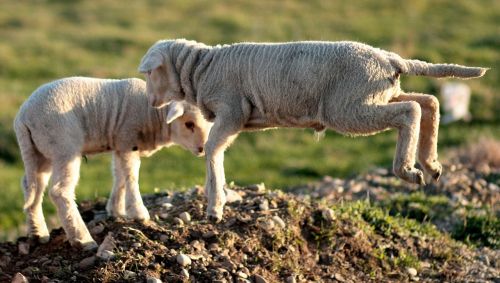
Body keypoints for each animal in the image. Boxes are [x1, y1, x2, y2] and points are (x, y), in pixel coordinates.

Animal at [13, 77, 213, 251]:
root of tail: (23, 118)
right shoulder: (127, 138)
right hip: (63, 145)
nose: (202, 149)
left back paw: (38, 232)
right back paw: (82, 239)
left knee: (32, 186)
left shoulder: (120, 144)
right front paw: (138, 213)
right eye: (189, 124)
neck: (153, 114)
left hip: (39, 152)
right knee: (59, 191)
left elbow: (120, 174)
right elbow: (131, 174)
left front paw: (116, 210)